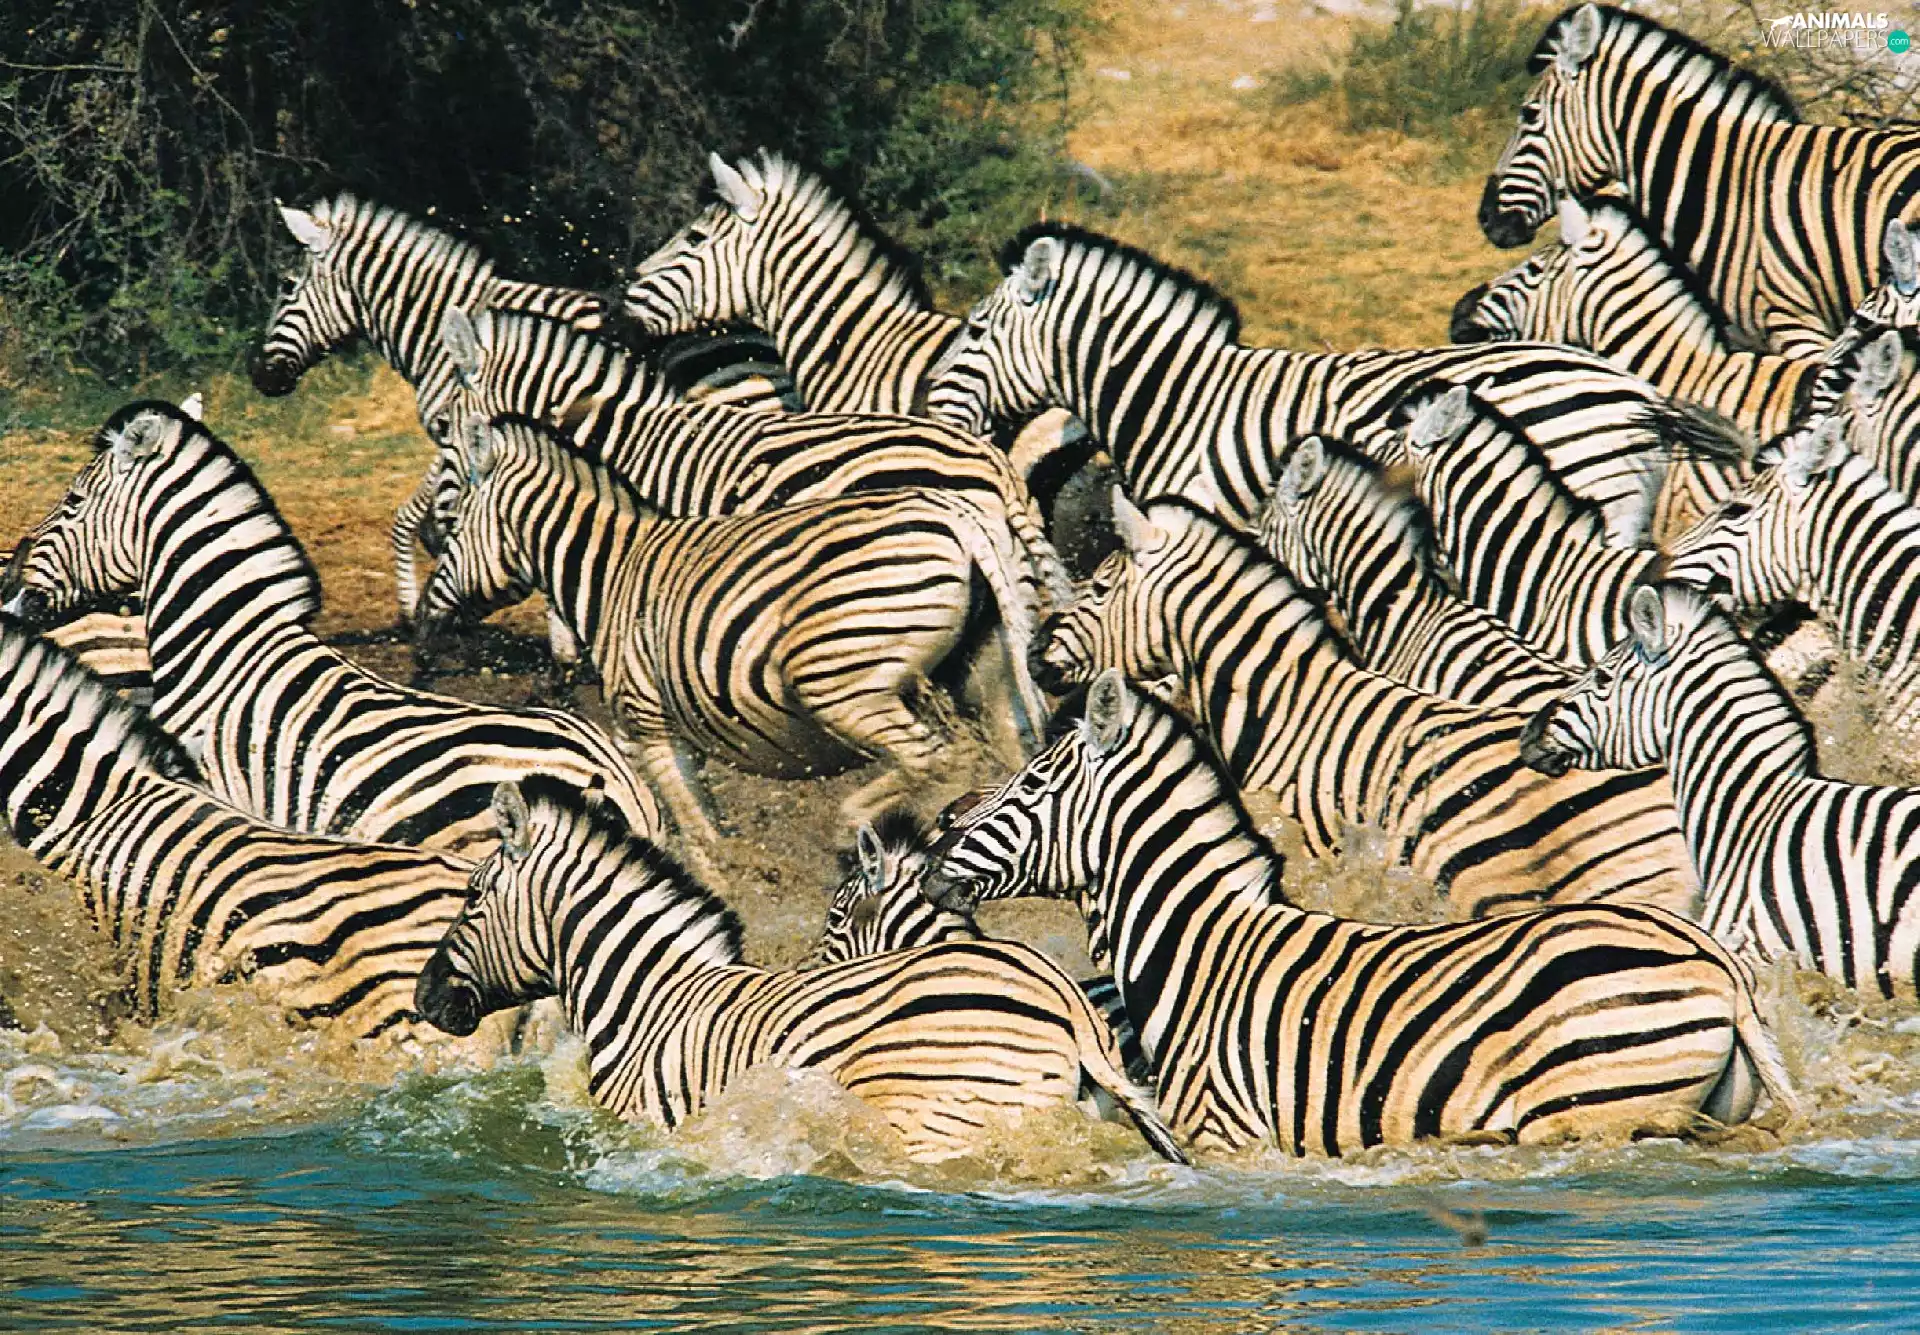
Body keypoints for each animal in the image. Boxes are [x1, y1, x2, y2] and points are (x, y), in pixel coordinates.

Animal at [412, 777, 1187, 1164]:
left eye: (473, 895)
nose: (423, 997)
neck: (644, 1001)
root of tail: (1068, 1006)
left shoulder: (643, 1123)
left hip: (931, 1120)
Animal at [418, 415, 1047, 848]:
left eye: (450, 529)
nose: (423, 621)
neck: (611, 573)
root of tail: (959, 515)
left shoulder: (648, 728)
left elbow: (699, 838)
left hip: (842, 683)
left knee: (935, 761)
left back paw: (851, 830)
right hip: (983, 673)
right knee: (1007, 768)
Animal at [920, 668, 1794, 1155]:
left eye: (1033, 782)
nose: (932, 853)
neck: (1198, 950)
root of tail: (1719, 966)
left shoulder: (1228, 1132)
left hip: (1587, 1108)